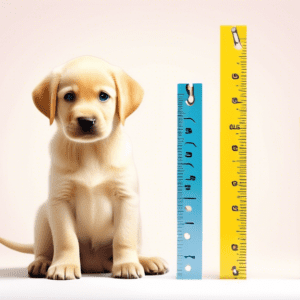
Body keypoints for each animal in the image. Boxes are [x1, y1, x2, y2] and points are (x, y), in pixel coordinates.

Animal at [0, 55, 169, 278]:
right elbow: (66, 239)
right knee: (42, 249)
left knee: (132, 246)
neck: (90, 151)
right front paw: (64, 265)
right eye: (69, 96)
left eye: (104, 96)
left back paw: (146, 261)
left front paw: (127, 264)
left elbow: (123, 239)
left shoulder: (126, 198)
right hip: (44, 214)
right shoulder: (60, 200)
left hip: (137, 219)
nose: (87, 121)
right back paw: (42, 263)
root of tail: (94, 265)